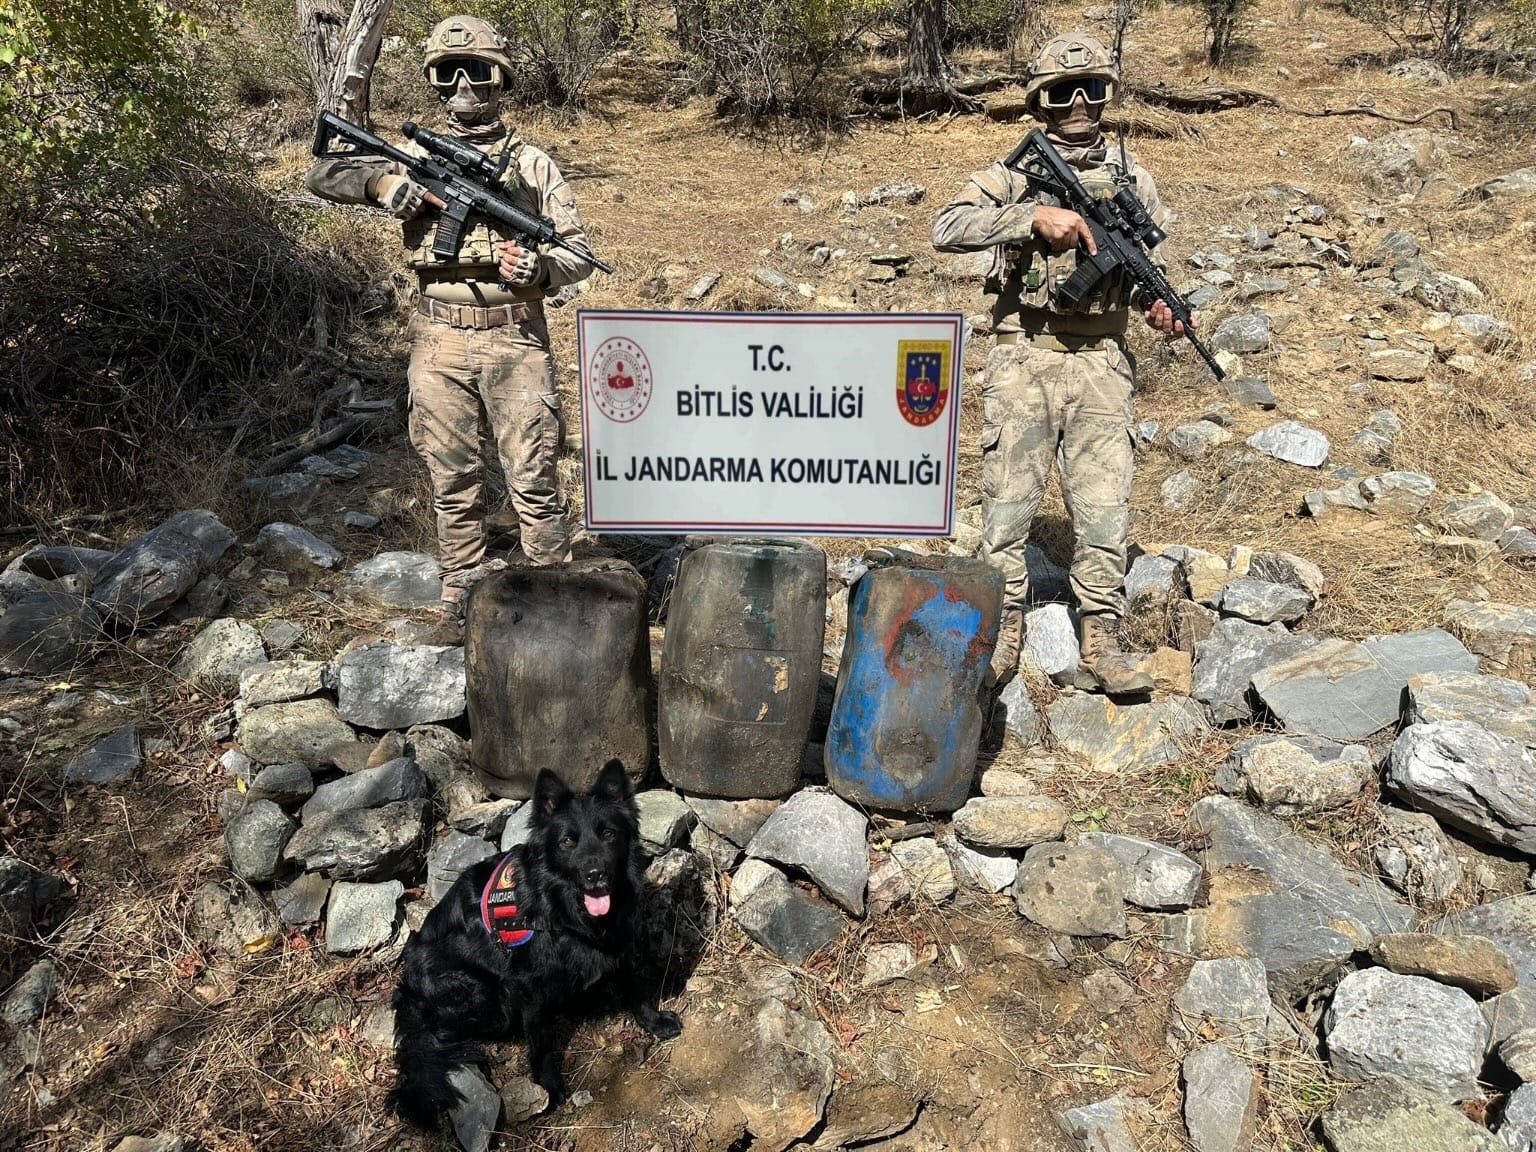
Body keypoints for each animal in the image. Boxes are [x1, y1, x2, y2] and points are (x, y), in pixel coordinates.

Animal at [390, 761, 685, 1130]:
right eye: (568, 841)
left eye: (608, 834)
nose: (595, 875)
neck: (565, 910)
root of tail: (409, 986)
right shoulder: (529, 986)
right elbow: (541, 1042)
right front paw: (548, 1087)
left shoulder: (620, 944)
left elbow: (637, 989)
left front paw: (654, 1022)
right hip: (486, 997)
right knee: (441, 1032)